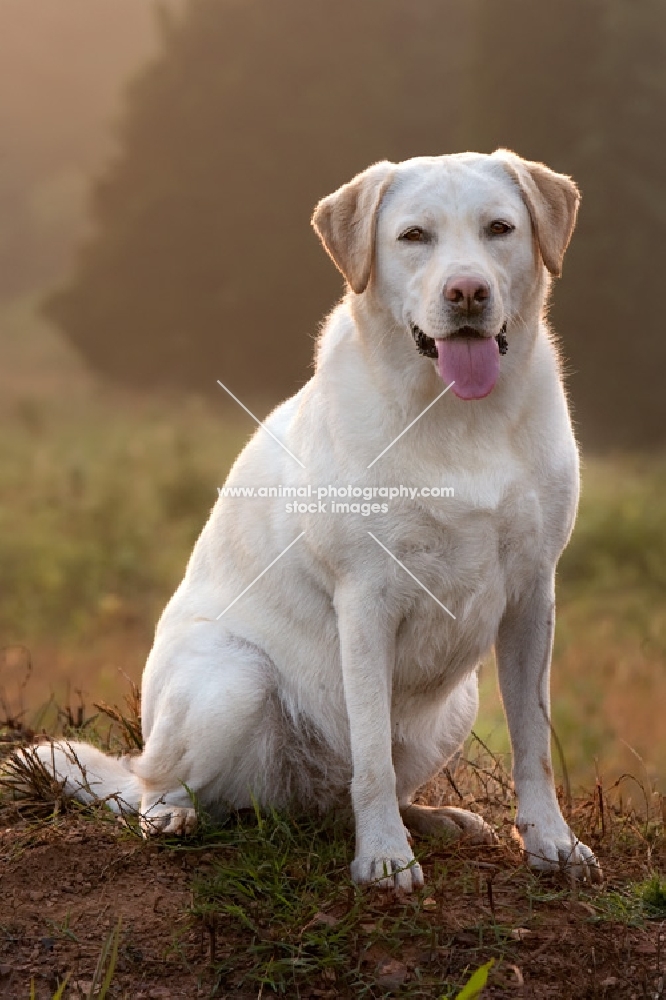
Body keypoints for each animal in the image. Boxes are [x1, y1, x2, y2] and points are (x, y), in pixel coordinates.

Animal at [26, 148, 600, 892]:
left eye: (499, 228)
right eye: (414, 236)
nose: (468, 293)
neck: (456, 416)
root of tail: (295, 800)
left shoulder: (533, 594)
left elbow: (533, 744)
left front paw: (551, 843)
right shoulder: (367, 599)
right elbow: (373, 758)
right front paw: (384, 858)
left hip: (456, 704)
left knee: (361, 785)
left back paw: (434, 819)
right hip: (233, 682)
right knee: (162, 782)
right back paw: (174, 817)